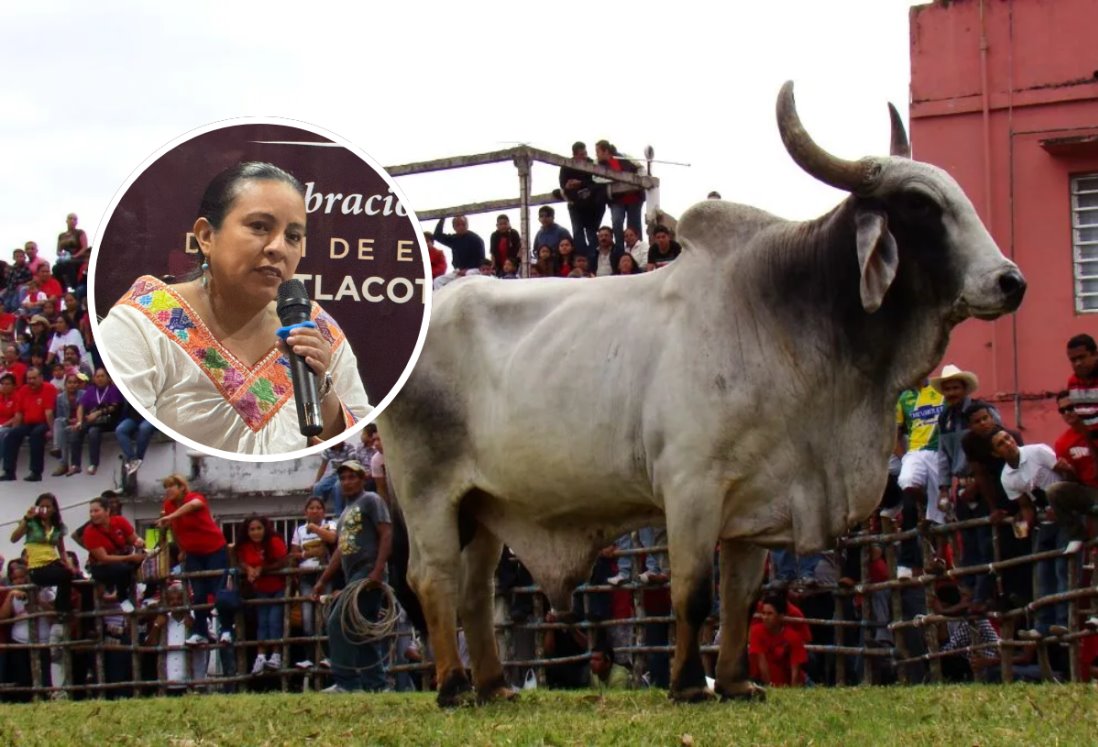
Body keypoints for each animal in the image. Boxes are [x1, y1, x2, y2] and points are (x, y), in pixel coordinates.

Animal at [375, 82, 1018, 707]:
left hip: (481, 505)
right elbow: (693, 593)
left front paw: (734, 682)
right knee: (433, 578)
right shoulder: (691, 488)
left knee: (475, 590)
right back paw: (453, 687)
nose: (1011, 281)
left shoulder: (761, 499)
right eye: (921, 205)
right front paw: (688, 683)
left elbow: (739, 597)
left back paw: (493, 684)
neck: (788, 316)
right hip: (427, 490)